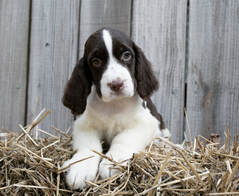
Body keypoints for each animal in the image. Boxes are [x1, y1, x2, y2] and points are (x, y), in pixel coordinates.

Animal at [61, 26, 170, 189]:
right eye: (96, 61)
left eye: (126, 55)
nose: (116, 84)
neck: (114, 105)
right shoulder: (84, 125)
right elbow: (89, 146)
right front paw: (80, 169)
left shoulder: (144, 123)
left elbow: (123, 139)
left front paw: (112, 163)